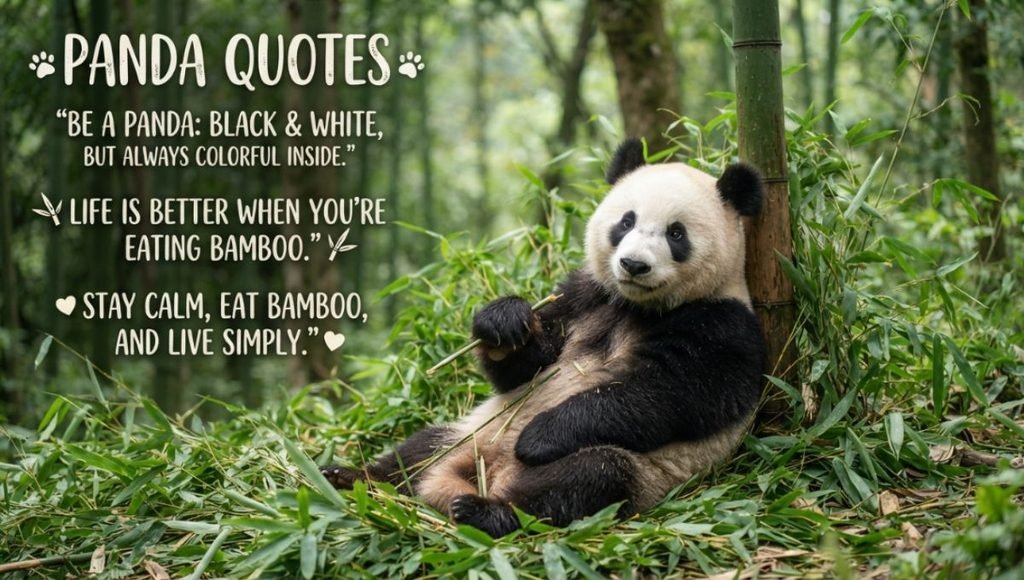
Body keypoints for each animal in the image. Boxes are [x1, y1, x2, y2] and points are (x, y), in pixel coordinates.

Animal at [321, 138, 766, 537]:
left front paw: (539, 436)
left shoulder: (722, 325)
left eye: (677, 234)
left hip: (640, 473)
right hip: (469, 432)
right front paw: (504, 323)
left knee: (584, 480)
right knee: (420, 449)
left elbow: (664, 395)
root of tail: (485, 475)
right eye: (626, 221)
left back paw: (487, 511)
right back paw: (349, 476)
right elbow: (526, 367)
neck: (634, 305)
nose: (633, 265)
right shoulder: (584, 295)